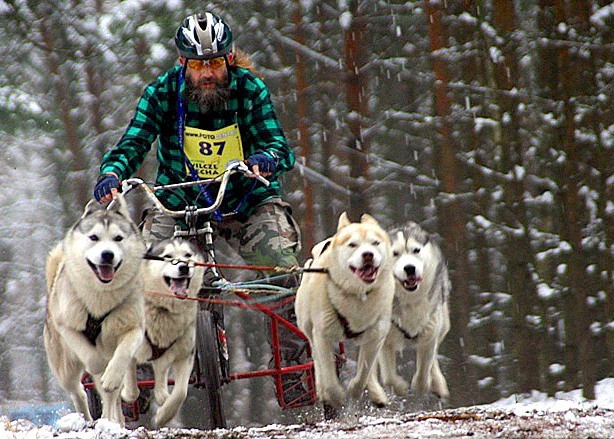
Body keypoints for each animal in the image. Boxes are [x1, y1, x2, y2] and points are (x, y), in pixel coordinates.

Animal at [44, 196, 147, 426]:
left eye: (118, 238)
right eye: (94, 237)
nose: (107, 254)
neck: (102, 298)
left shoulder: (134, 327)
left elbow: (124, 352)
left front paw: (112, 374)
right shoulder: (68, 326)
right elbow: (93, 359)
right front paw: (99, 364)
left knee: (112, 395)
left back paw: (112, 418)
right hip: (65, 368)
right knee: (78, 392)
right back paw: (87, 418)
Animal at [122, 239, 207, 428]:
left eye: (188, 255)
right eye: (167, 256)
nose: (183, 267)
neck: (164, 309)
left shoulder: (185, 354)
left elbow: (180, 392)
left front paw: (163, 415)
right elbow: (130, 387)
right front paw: (128, 395)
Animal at [298, 213, 394, 416]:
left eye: (375, 242)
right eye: (352, 244)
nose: (368, 254)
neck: (358, 295)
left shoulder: (376, 334)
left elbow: (364, 372)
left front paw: (355, 390)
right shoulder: (322, 335)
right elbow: (327, 371)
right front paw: (334, 396)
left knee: (370, 367)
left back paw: (376, 392)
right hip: (309, 329)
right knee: (318, 363)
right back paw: (322, 390)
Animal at [376, 223, 452, 402]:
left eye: (416, 250)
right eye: (395, 253)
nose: (410, 268)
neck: (409, 300)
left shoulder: (429, 333)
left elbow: (425, 368)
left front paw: (421, 386)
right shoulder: (384, 339)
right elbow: (388, 377)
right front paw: (400, 387)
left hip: (443, 324)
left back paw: (438, 384)